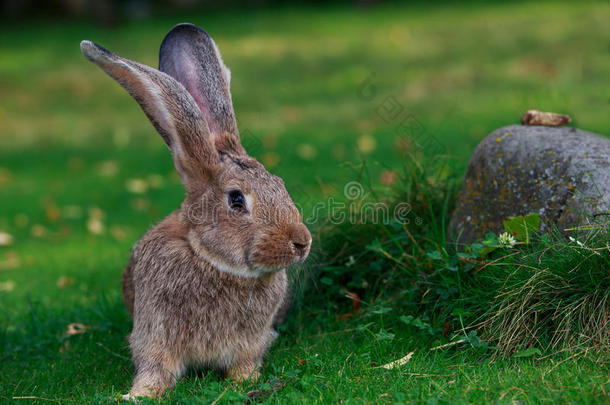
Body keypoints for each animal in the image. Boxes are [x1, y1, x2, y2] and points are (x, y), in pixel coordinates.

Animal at [79, 22, 308, 398]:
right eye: (236, 200)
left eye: (280, 183)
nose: (302, 242)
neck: (212, 261)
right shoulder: (154, 335)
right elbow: (155, 368)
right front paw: (137, 395)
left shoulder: (251, 342)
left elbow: (245, 363)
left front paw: (245, 382)